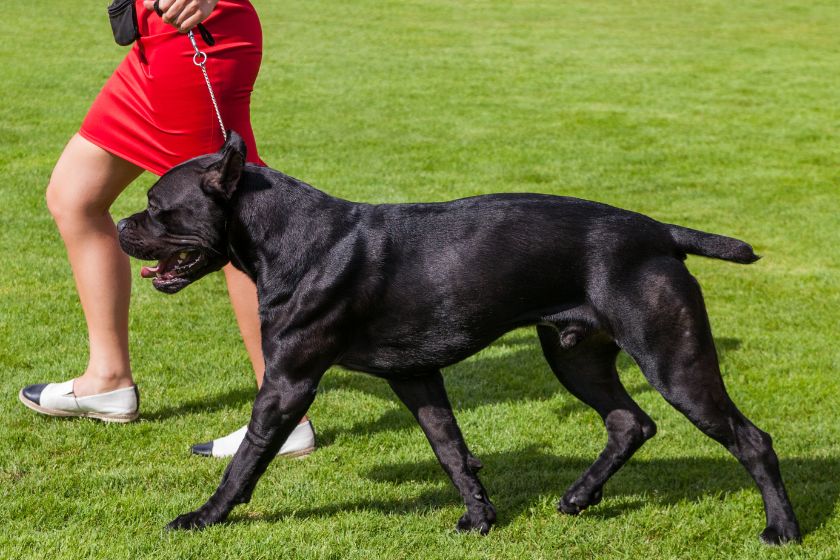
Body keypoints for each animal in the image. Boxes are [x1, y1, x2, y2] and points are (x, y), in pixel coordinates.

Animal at [118, 130, 800, 544]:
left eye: (156, 205)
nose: (121, 227)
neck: (289, 236)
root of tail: (659, 232)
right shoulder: (415, 375)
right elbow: (450, 449)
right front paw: (479, 516)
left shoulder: (288, 383)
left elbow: (246, 462)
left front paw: (204, 517)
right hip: (577, 357)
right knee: (629, 422)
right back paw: (578, 497)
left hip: (673, 361)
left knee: (751, 439)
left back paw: (784, 529)